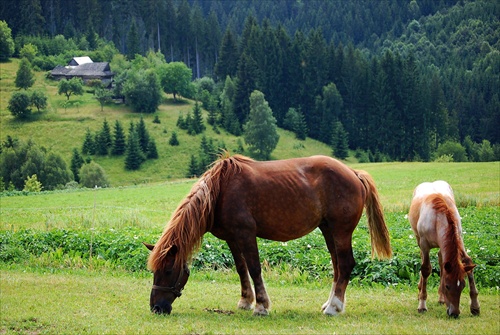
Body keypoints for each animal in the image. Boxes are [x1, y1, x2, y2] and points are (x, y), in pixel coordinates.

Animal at [143, 155, 392, 318]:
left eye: (168, 271)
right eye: (154, 271)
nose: (156, 308)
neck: (220, 192)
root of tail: (354, 173)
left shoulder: (246, 234)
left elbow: (254, 269)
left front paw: (261, 306)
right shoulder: (232, 238)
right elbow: (241, 269)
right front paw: (245, 301)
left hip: (341, 231)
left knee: (346, 264)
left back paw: (333, 307)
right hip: (328, 230)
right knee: (338, 266)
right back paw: (331, 304)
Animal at [410, 182, 480, 318]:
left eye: (463, 286)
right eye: (447, 286)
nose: (454, 313)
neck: (437, 218)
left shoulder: (458, 238)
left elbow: (467, 261)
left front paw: (475, 306)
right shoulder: (424, 244)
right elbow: (425, 269)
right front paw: (422, 304)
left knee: (442, 262)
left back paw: (441, 299)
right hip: (418, 239)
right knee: (423, 260)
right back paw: (420, 291)